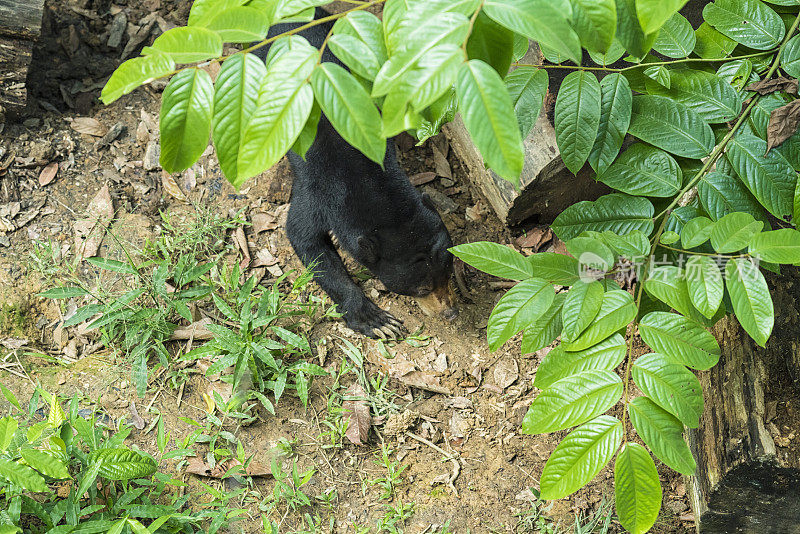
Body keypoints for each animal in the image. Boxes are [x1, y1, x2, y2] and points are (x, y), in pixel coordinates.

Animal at [256, 8, 456, 340]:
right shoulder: (317, 189)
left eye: (449, 272)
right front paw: (377, 320)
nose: (450, 312)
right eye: (421, 289)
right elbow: (304, 237)